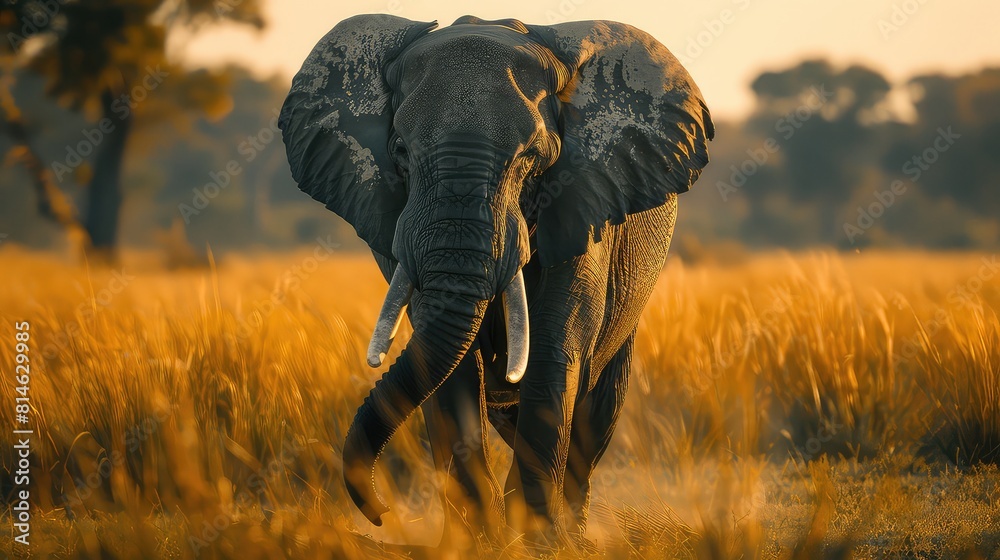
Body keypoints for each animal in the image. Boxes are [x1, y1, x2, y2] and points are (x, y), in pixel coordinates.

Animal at [278, 14, 713, 548]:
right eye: (400, 152)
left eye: (532, 159)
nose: (379, 512)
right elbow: (447, 367)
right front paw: (474, 540)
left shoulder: (586, 203)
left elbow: (554, 349)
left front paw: (537, 540)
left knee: (598, 409)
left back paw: (575, 533)